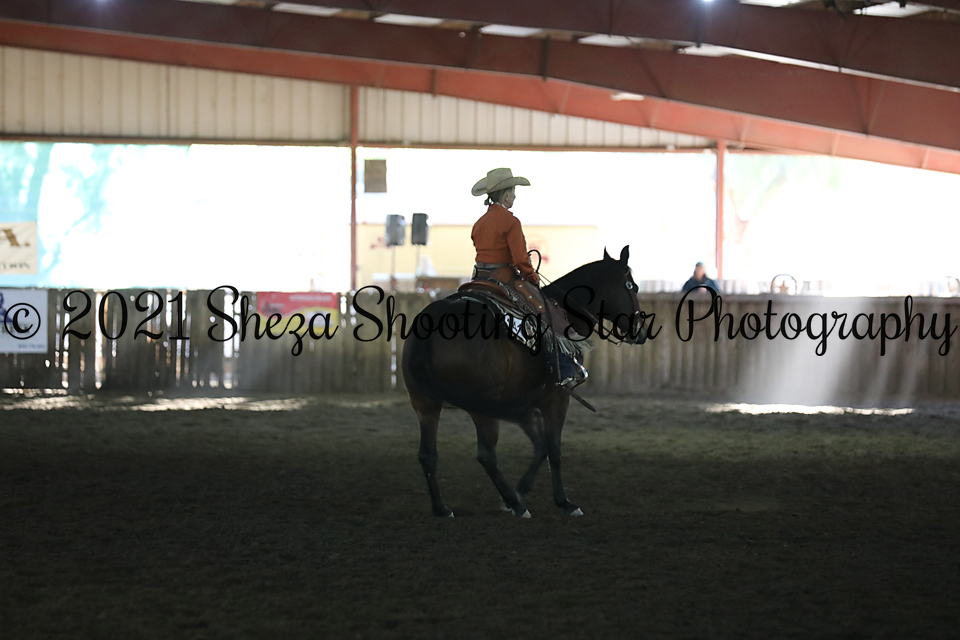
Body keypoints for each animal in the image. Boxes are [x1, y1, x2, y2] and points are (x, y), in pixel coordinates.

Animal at [401, 246, 647, 518]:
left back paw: (442, 508)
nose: (640, 332)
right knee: (486, 455)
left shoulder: (525, 403)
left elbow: (541, 447)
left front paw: (522, 490)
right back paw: (516, 505)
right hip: (482, 406)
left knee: (428, 455)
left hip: (425, 403)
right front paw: (563, 502)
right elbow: (553, 449)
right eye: (632, 286)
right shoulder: (557, 398)